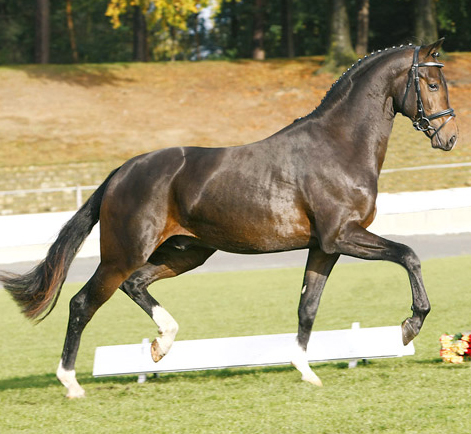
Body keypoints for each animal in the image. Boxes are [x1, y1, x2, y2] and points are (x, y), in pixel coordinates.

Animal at [0, 40, 458, 396]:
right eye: (433, 84)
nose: (449, 137)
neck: (339, 147)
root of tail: (121, 172)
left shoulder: (324, 248)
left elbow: (307, 307)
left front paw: (306, 372)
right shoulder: (344, 236)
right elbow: (409, 254)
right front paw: (409, 326)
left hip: (185, 253)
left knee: (135, 285)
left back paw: (161, 346)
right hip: (123, 254)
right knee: (82, 302)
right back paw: (72, 383)